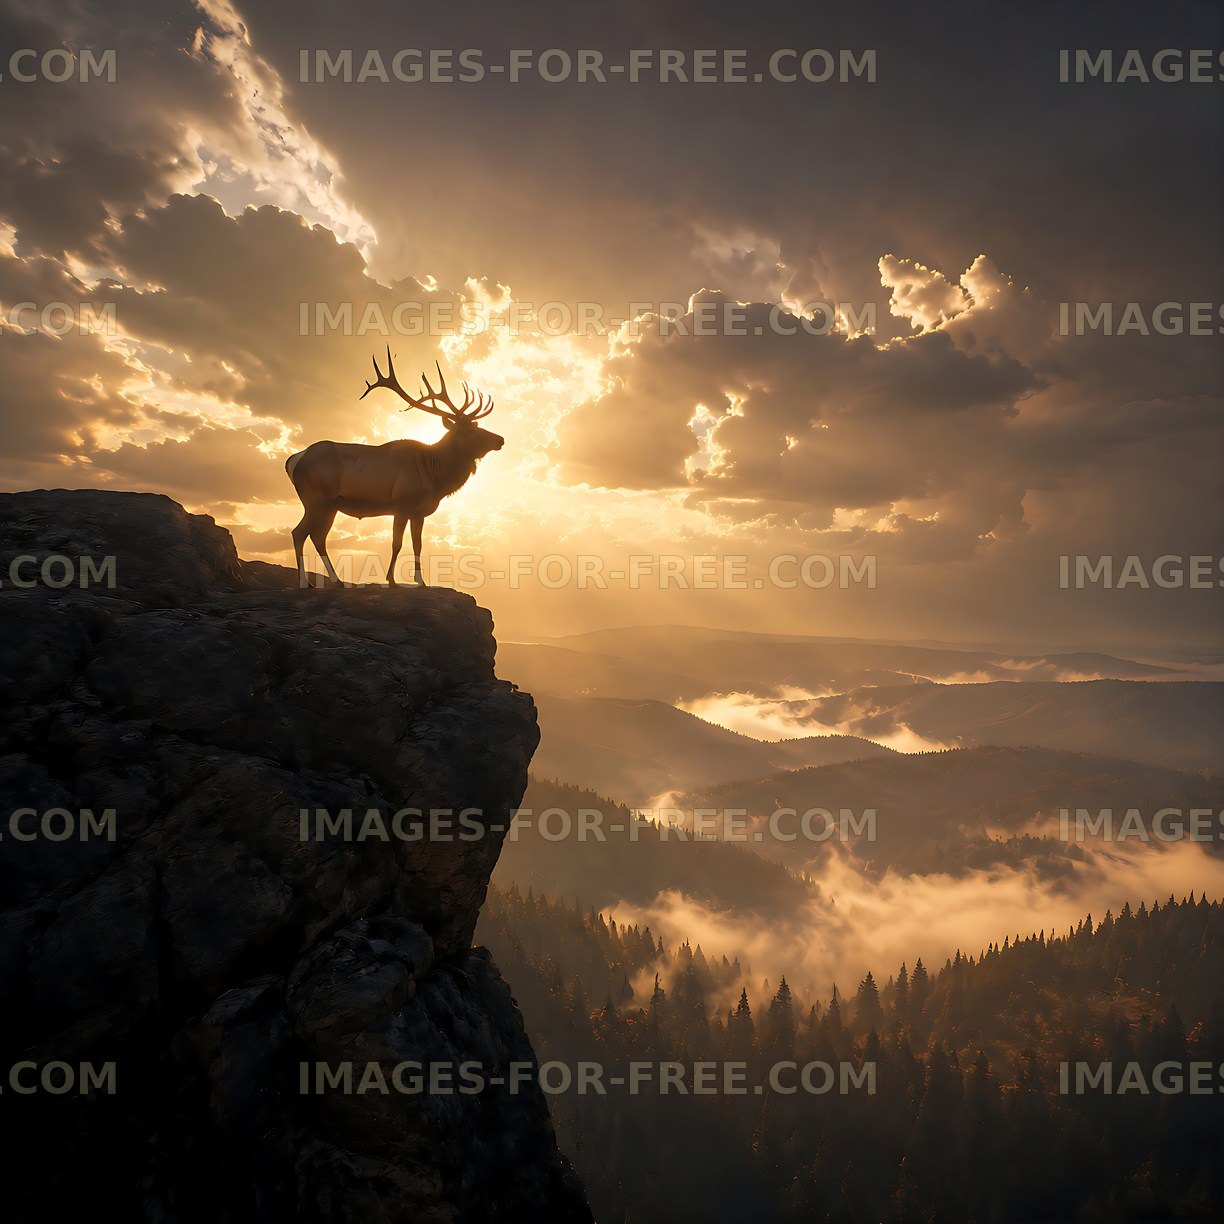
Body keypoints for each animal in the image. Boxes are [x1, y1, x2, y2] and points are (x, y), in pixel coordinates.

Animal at [285, 348, 503, 587]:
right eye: (470, 430)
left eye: (476, 425)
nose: (500, 439)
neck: (435, 476)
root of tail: (293, 460)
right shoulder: (401, 504)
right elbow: (396, 543)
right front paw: (390, 579)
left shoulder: (419, 512)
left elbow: (418, 544)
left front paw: (421, 581)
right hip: (316, 499)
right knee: (299, 533)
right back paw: (306, 583)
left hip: (331, 504)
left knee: (318, 537)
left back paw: (337, 580)